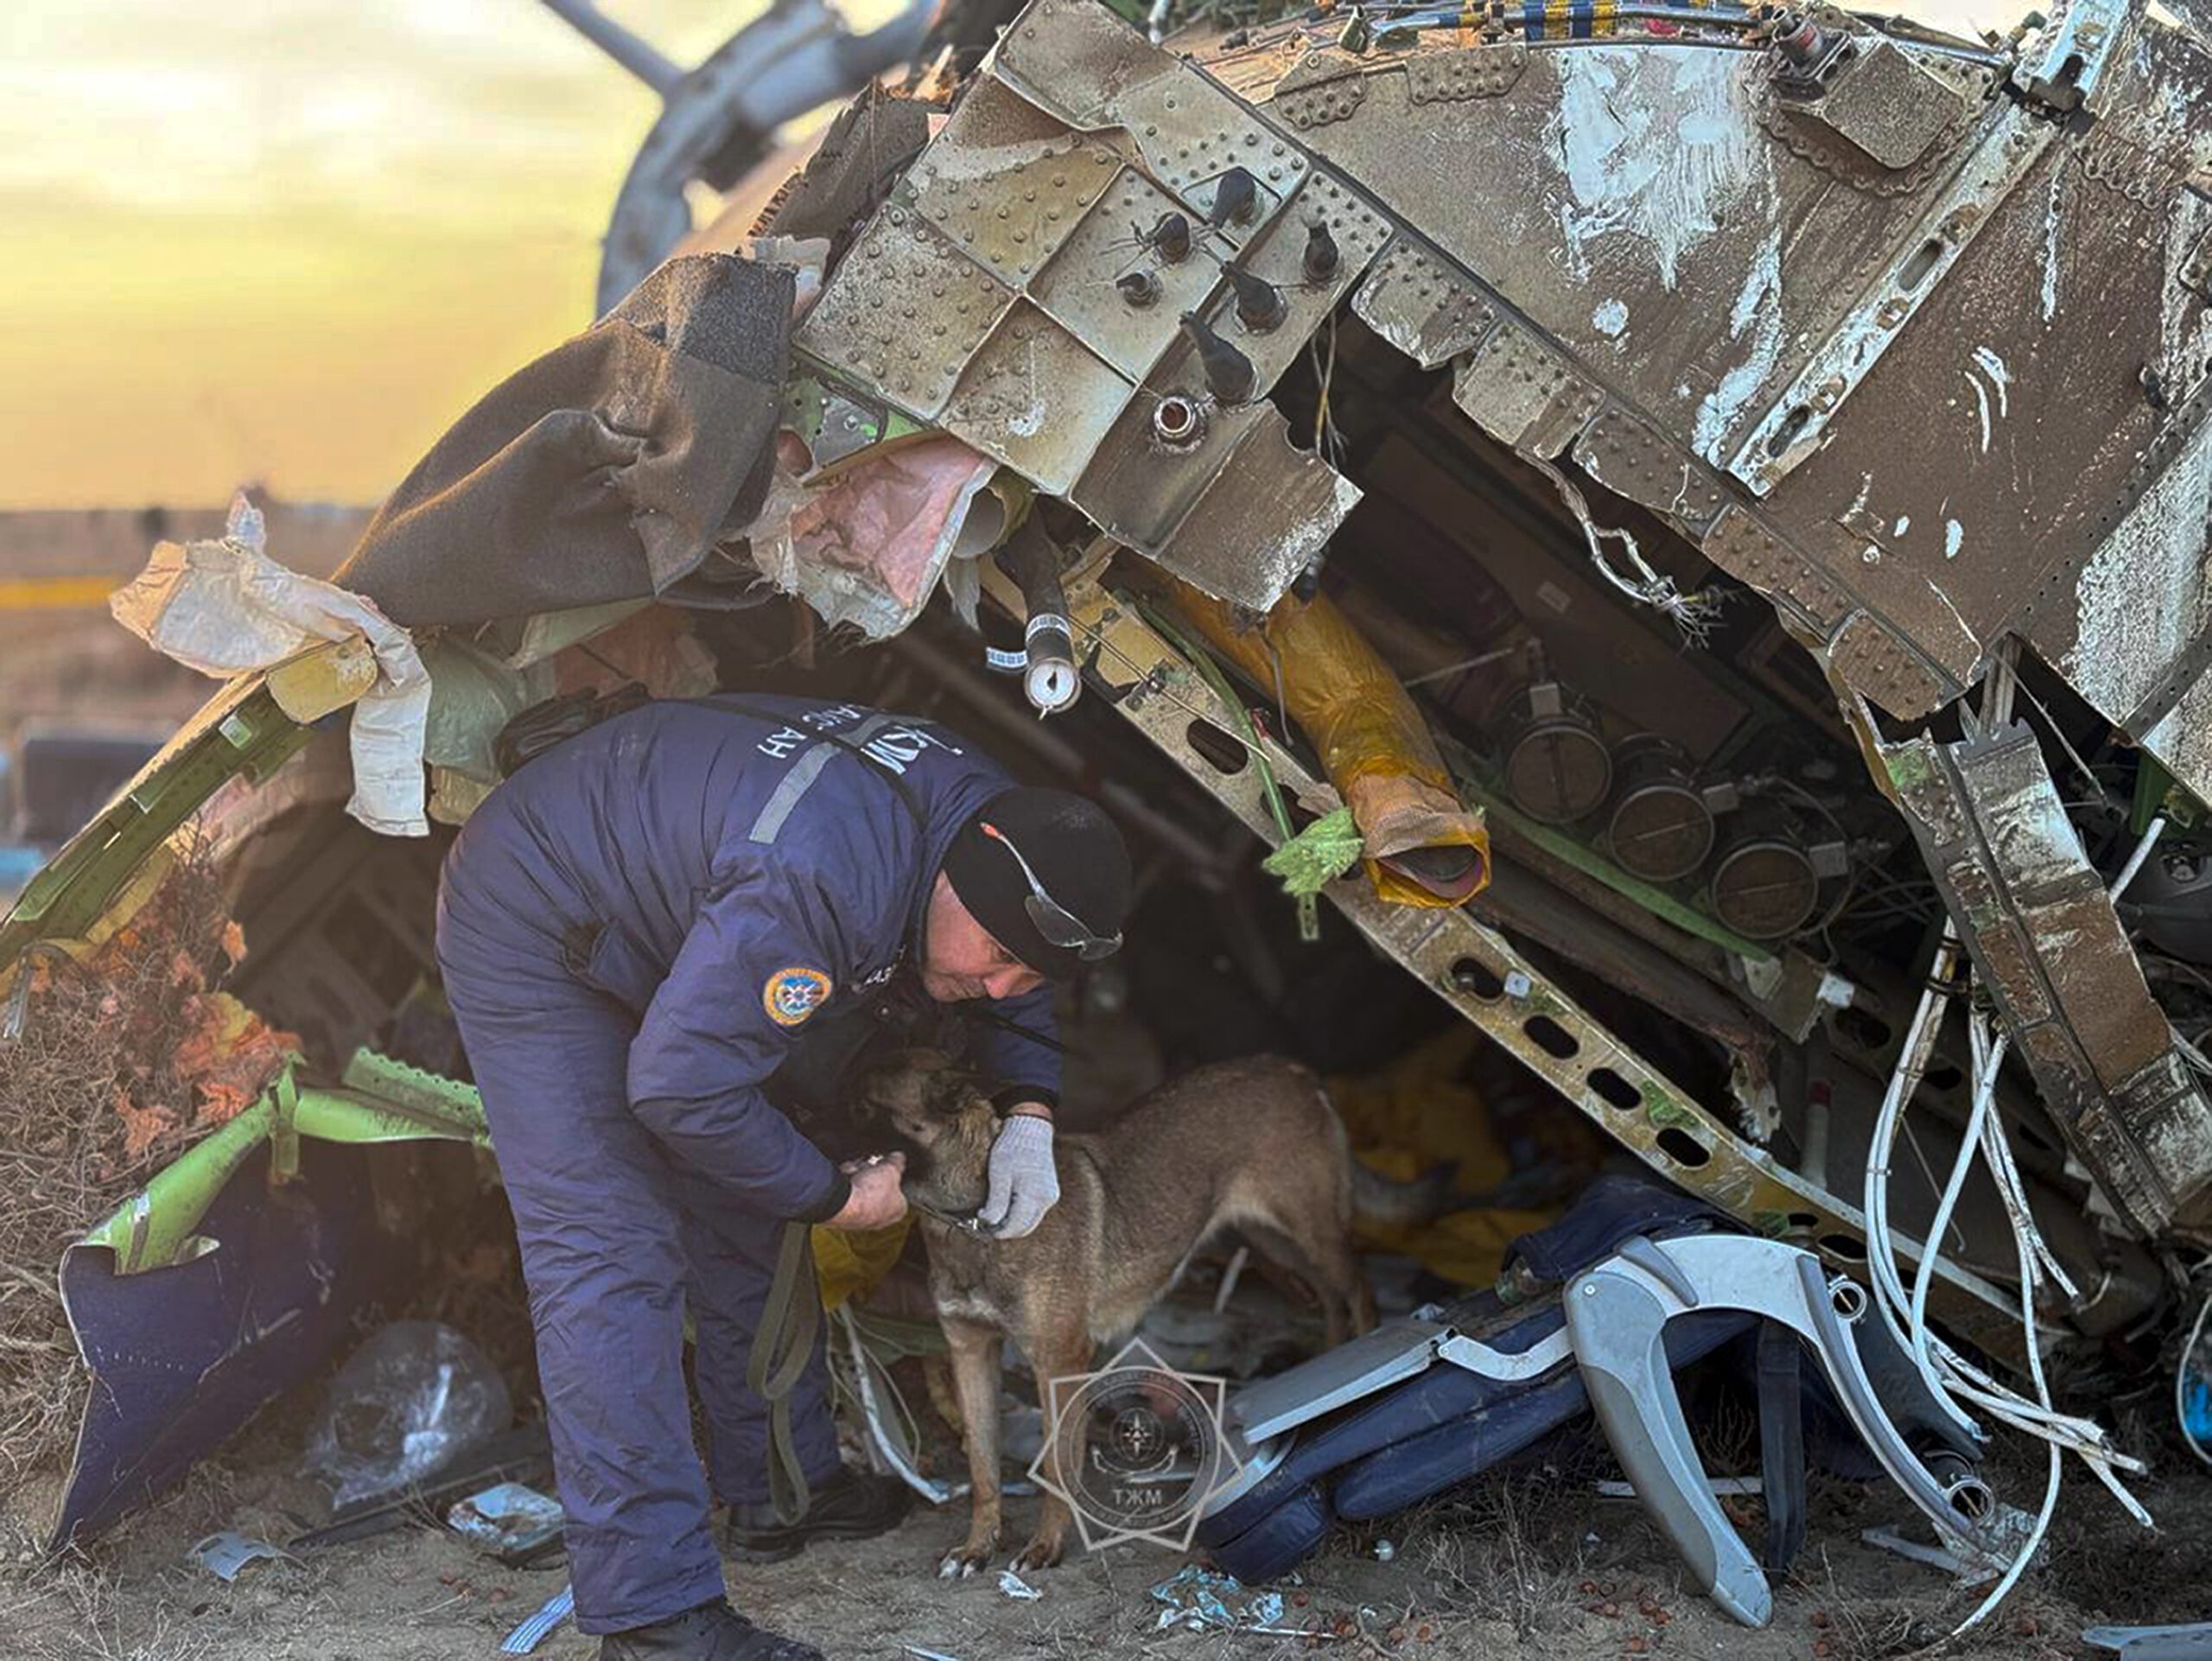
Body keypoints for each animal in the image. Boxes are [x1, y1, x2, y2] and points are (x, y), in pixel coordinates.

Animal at [858, 1057, 1362, 1575]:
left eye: (862, 1107)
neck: (973, 1220)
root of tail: (1290, 1068)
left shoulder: (1059, 1360)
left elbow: (1058, 1463)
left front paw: (1046, 1546)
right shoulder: (970, 1352)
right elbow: (982, 1467)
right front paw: (977, 1547)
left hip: (1309, 1232)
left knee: (1357, 1288)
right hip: (1270, 1239)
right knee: (1329, 1297)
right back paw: (1334, 1353)